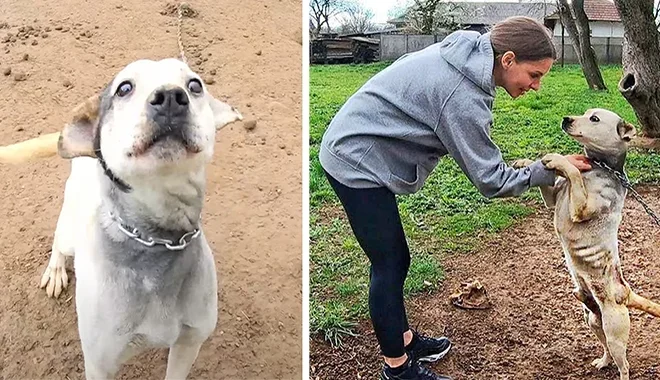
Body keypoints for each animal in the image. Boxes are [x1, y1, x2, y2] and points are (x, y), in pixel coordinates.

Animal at [0, 58, 242, 378]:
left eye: (195, 85)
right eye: (124, 88)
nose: (171, 97)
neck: (157, 239)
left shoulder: (189, 343)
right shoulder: (100, 363)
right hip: (69, 230)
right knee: (58, 240)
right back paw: (55, 270)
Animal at [516, 108, 660, 380]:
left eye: (594, 119)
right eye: (584, 113)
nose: (566, 119)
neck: (598, 167)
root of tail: (625, 291)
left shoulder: (581, 207)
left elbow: (571, 171)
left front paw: (558, 160)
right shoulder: (552, 199)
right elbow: (549, 180)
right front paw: (525, 162)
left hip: (615, 331)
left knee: (624, 365)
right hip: (593, 321)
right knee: (606, 350)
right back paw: (603, 362)